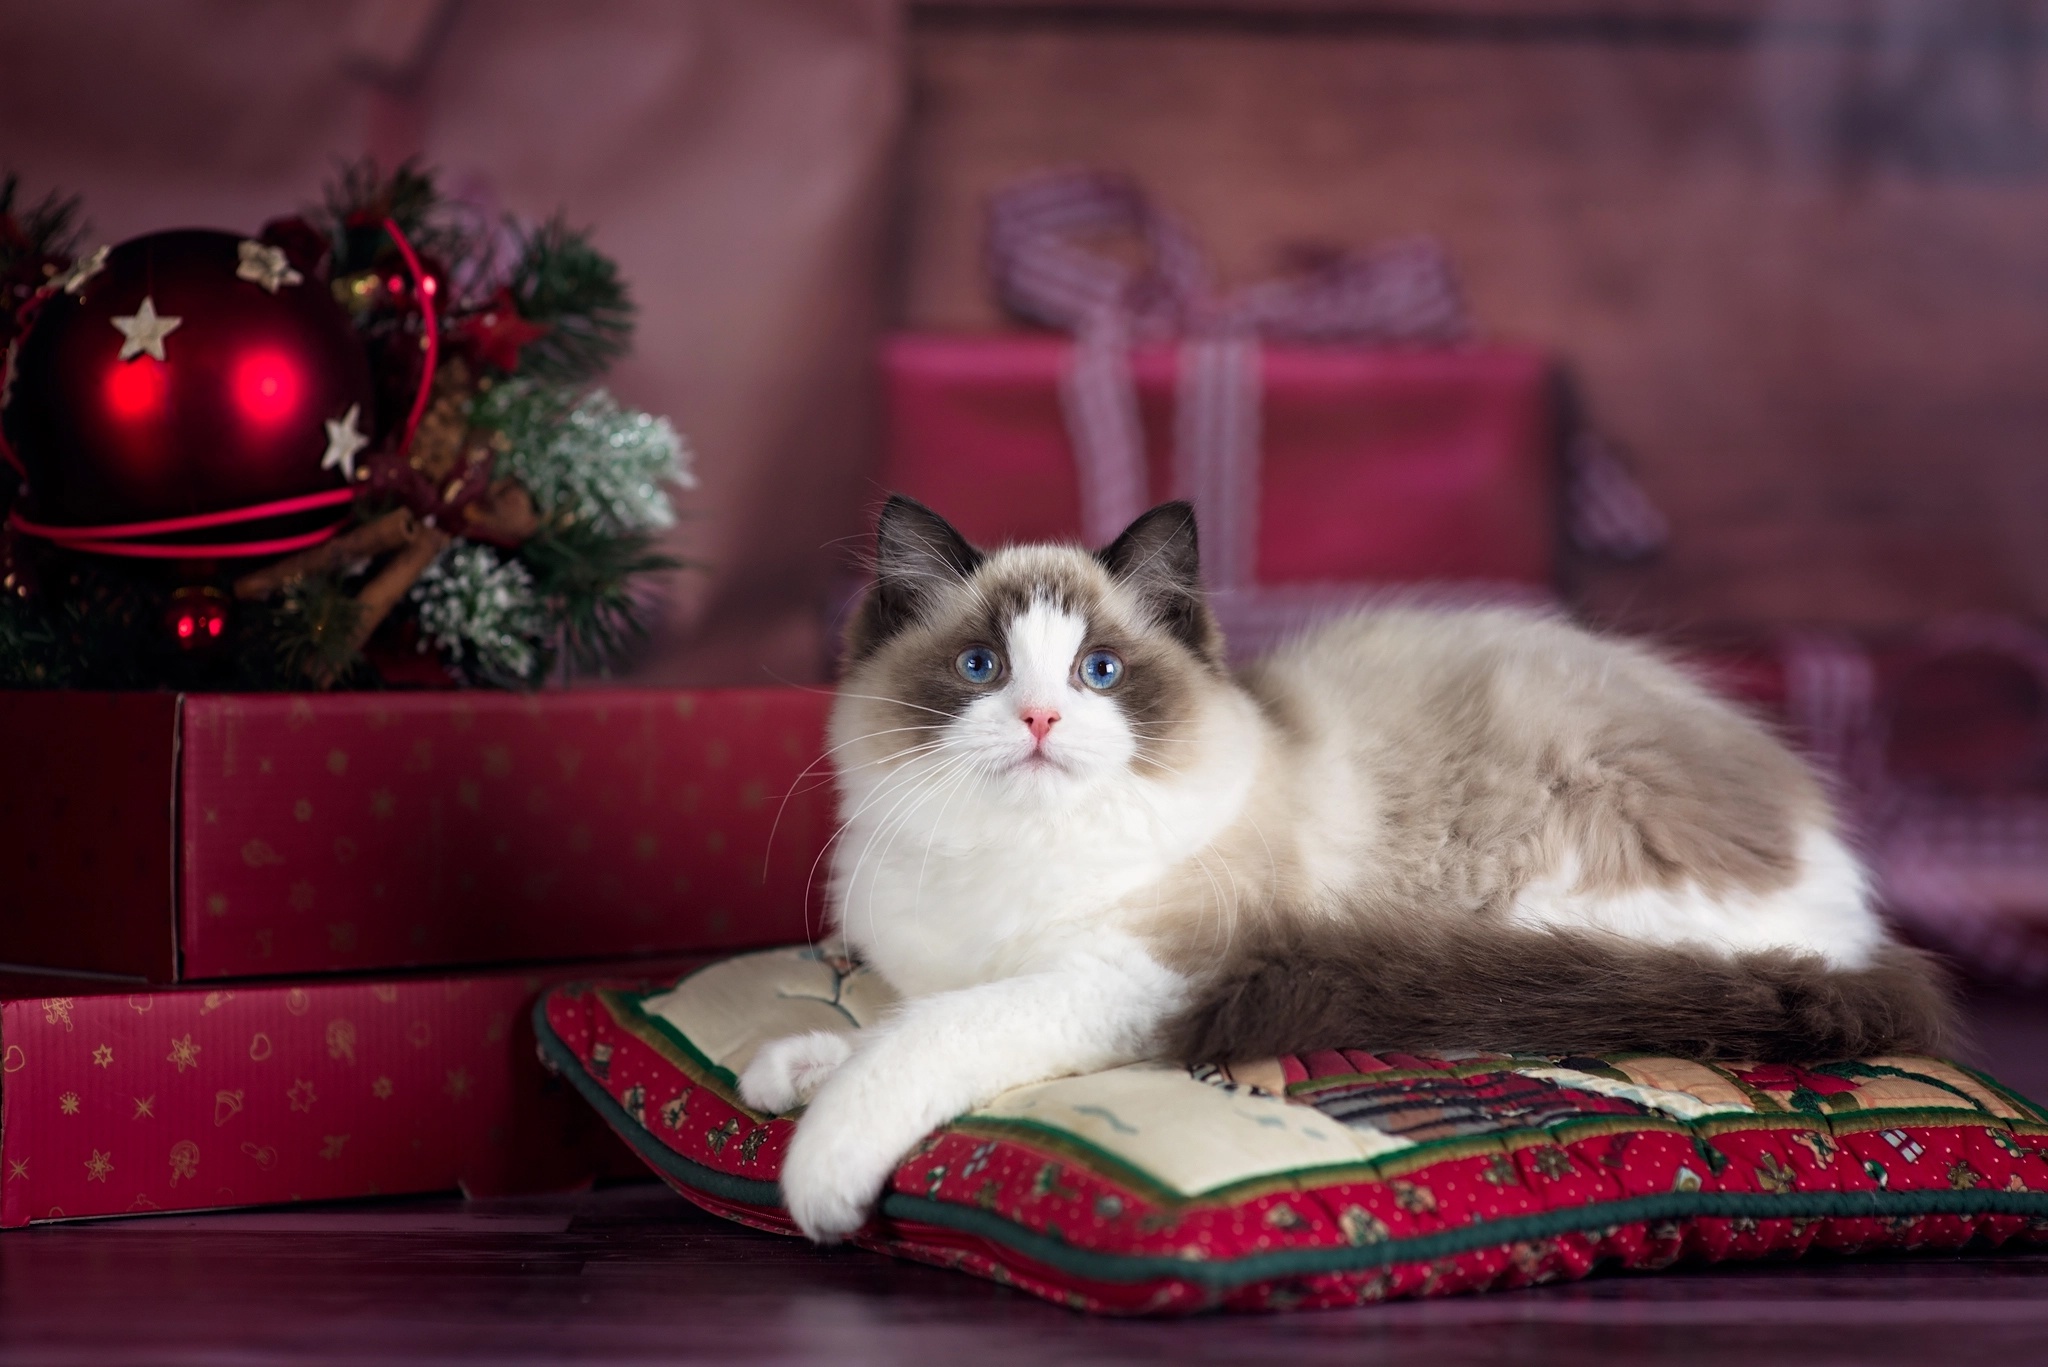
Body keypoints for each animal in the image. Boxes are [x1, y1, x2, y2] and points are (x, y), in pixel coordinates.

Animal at [741, 498, 1949, 1246]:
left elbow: (929, 1035)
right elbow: (885, 1016)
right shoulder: (941, 959)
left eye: (1101, 673)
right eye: (981, 667)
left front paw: (820, 1162)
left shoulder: (1138, 972)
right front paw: (789, 1068)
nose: (1039, 720)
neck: (1006, 857)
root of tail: (1846, 898)